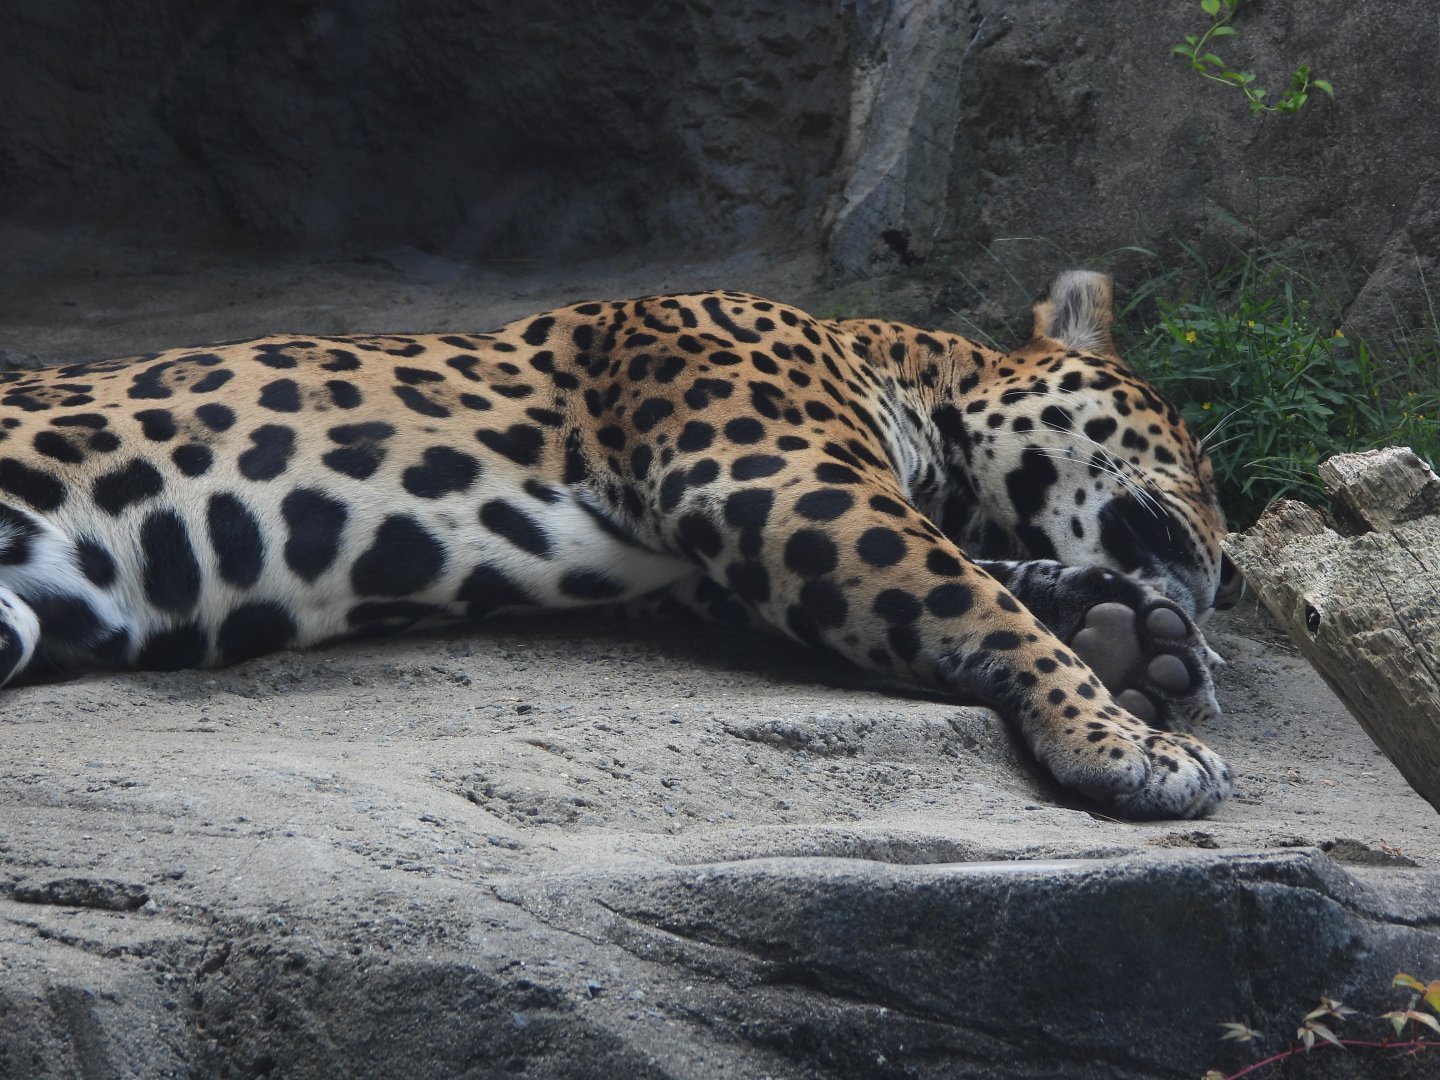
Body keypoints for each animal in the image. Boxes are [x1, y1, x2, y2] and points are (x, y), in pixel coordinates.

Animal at [0, 269, 1242, 819]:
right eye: (1193, 450)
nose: (1232, 570)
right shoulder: (774, 479)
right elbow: (972, 599)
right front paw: (1127, 741)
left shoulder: (713, 571)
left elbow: (989, 584)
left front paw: (1133, 637)